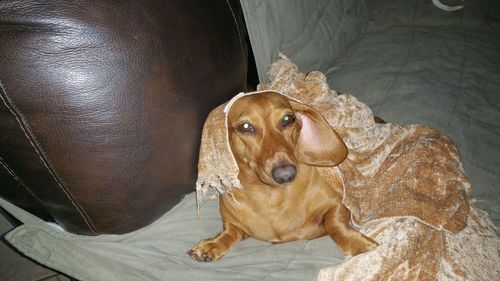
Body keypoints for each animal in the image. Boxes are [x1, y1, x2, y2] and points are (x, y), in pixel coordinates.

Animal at [188, 91, 378, 260]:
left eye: (288, 119)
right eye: (245, 127)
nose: (286, 174)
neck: (270, 196)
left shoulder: (337, 204)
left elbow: (334, 223)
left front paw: (358, 244)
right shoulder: (233, 223)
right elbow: (230, 232)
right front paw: (213, 244)